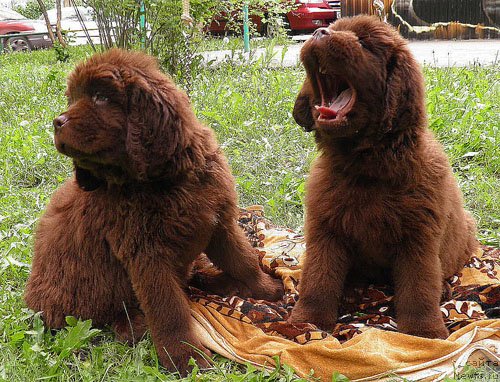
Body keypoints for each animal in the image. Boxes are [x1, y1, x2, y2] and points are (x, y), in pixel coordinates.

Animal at [24, 48, 282, 374]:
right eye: (72, 99)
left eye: (100, 97)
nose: (56, 122)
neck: (164, 180)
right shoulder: (147, 256)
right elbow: (169, 309)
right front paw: (185, 357)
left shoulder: (218, 223)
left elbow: (244, 259)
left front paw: (269, 290)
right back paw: (136, 325)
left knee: (193, 277)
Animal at [288, 16, 478, 338]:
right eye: (333, 29)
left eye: (364, 43)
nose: (318, 32)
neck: (366, 168)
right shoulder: (326, 228)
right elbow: (317, 277)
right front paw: (307, 321)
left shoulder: (419, 236)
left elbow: (419, 286)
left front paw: (423, 332)